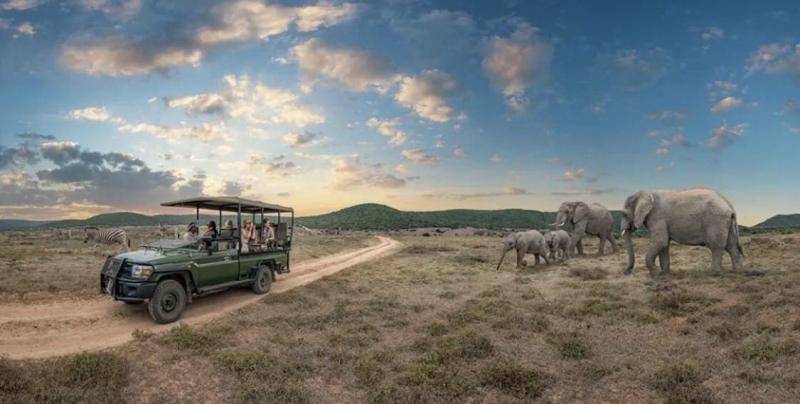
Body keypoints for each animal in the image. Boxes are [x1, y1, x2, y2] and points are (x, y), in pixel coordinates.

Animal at [620, 187, 748, 274]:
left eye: (624, 214)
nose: (627, 272)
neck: (645, 192)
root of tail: (729, 204)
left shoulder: (657, 217)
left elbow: (660, 241)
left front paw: (655, 274)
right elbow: (664, 244)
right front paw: (664, 274)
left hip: (716, 220)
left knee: (717, 246)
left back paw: (715, 273)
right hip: (726, 222)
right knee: (731, 246)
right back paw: (738, 271)